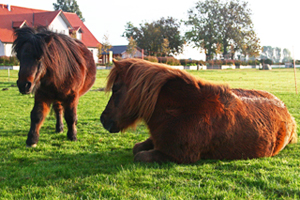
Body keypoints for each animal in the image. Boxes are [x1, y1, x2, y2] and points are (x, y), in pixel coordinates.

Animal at [101, 57, 298, 162]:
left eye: (116, 89)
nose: (103, 119)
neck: (182, 110)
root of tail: (287, 113)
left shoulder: (175, 155)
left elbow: (139, 155)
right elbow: (137, 148)